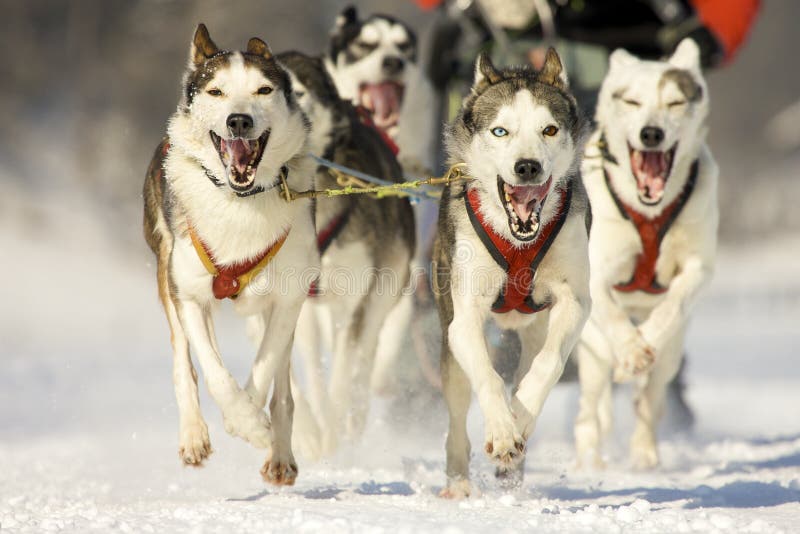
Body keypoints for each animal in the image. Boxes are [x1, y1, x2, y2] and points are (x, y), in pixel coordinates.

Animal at [142, 24, 318, 486]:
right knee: (183, 363)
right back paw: (193, 434)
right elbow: (214, 371)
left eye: (263, 89)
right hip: (166, 272)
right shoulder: (189, 293)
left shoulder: (288, 298)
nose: (239, 120)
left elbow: (265, 368)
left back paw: (280, 453)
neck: (241, 202)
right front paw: (244, 421)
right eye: (216, 91)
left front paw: (252, 423)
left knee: (283, 385)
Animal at [434, 50, 592, 498]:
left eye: (549, 129)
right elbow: (487, 377)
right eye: (500, 130)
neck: (519, 241)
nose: (527, 167)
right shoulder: (465, 316)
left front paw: (518, 422)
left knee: (527, 369)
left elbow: (548, 365)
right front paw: (503, 433)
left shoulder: (574, 301)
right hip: (449, 342)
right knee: (457, 419)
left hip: (534, 329)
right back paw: (459, 482)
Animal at [576, 39, 720, 472]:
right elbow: (610, 313)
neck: (650, 213)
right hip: (589, 351)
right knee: (590, 408)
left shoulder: (698, 266)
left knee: (649, 400)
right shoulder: (596, 273)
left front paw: (645, 342)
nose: (651, 133)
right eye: (632, 101)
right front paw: (630, 349)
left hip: (672, 358)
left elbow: (673, 304)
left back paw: (644, 452)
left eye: (675, 102)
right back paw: (588, 458)